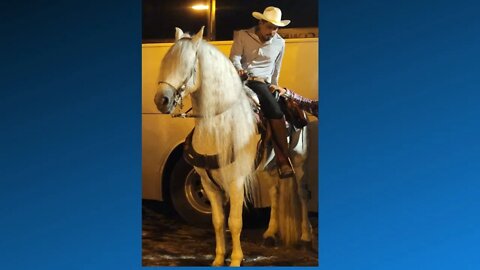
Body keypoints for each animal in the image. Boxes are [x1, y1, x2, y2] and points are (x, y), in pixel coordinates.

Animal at [152, 27, 314, 266]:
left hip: (298, 161)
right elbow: (218, 222)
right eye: (165, 62)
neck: (218, 125)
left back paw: (305, 237)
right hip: (268, 166)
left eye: (187, 65)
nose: (161, 100)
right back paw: (270, 233)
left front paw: (236, 259)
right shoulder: (207, 183)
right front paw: (219, 258)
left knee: (302, 194)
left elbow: (235, 222)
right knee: (275, 192)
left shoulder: (236, 182)